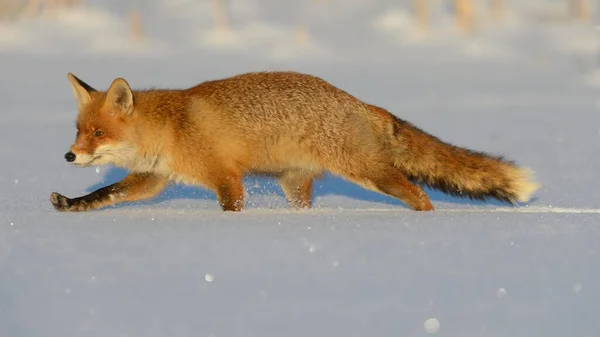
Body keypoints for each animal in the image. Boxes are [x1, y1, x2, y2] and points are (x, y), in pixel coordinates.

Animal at [50, 71, 540, 211]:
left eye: (99, 133)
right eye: (77, 130)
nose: (70, 155)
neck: (169, 129)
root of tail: (364, 104)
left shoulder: (225, 176)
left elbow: (231, 207)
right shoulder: (153, 179)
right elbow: (107, 192)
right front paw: (73, 204)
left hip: (368, 174)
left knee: (419, 195)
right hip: (294, 184)